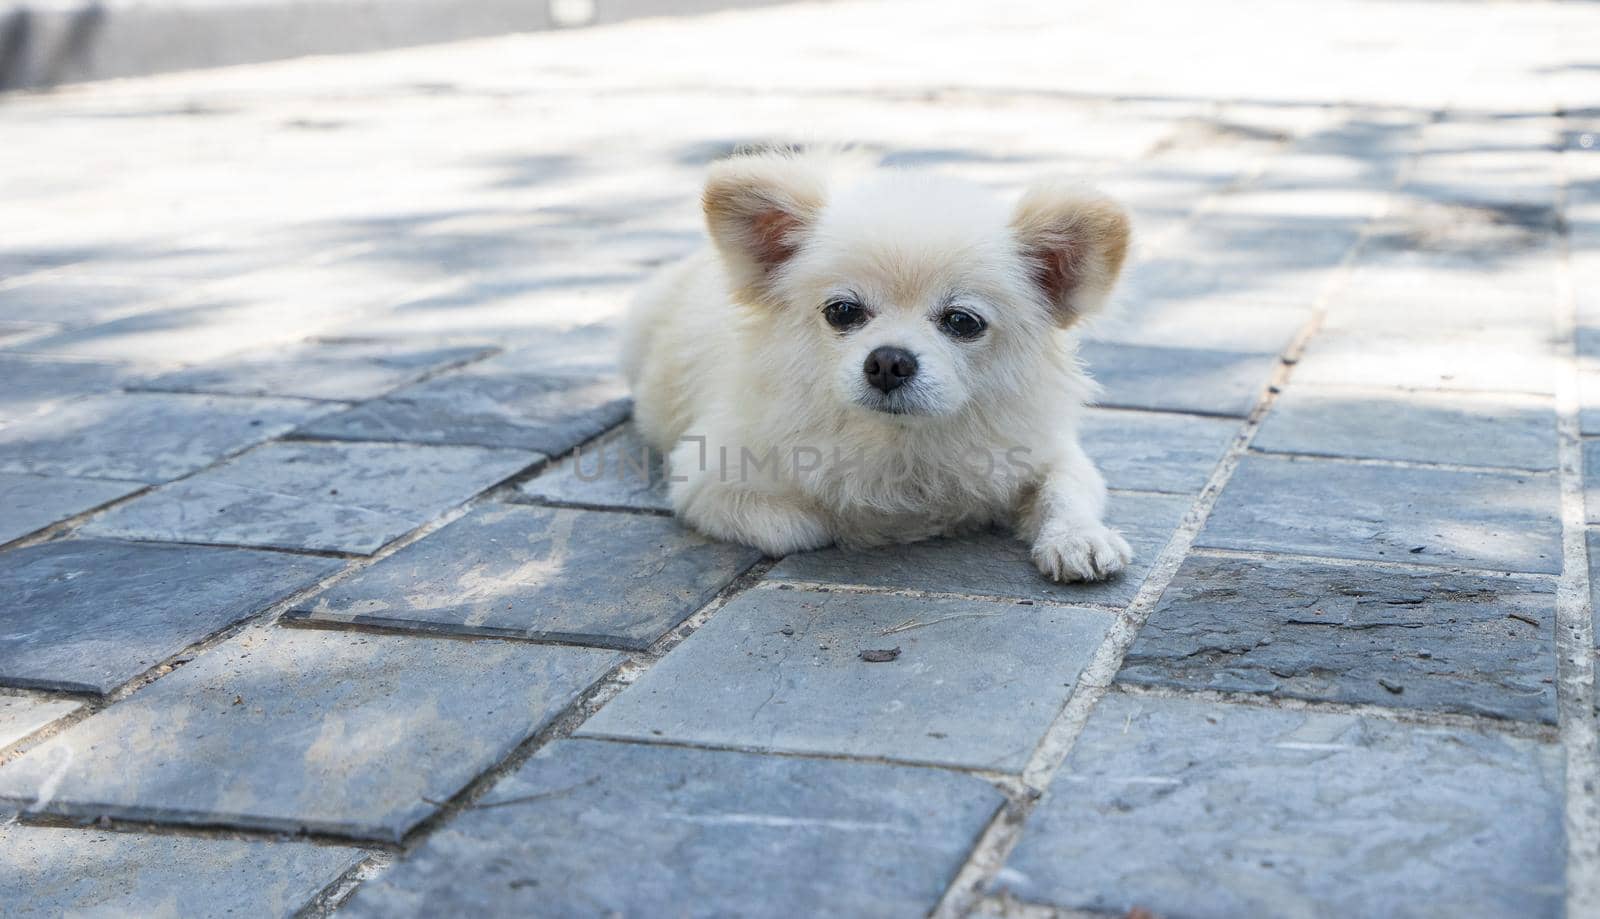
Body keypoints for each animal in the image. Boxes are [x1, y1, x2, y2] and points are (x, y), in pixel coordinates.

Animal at [624, 151, 1139, 582]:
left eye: (962, 321)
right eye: (842, 312)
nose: (889, 361)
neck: (901, 444)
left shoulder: (1050, 451)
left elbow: (1066, 489)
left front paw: (1078, 538)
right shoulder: (706, 481)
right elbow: (805, 524)